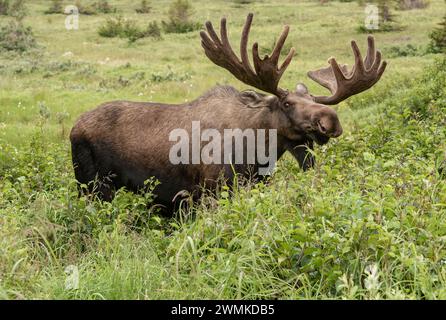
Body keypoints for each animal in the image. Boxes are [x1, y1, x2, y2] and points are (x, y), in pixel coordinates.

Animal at [69, 14, 386, 215]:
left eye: (311, 98)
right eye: (286, 103)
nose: (330, 120)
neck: (258, 151)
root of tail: (73, 129)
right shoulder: (210, 190)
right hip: (93, 186)